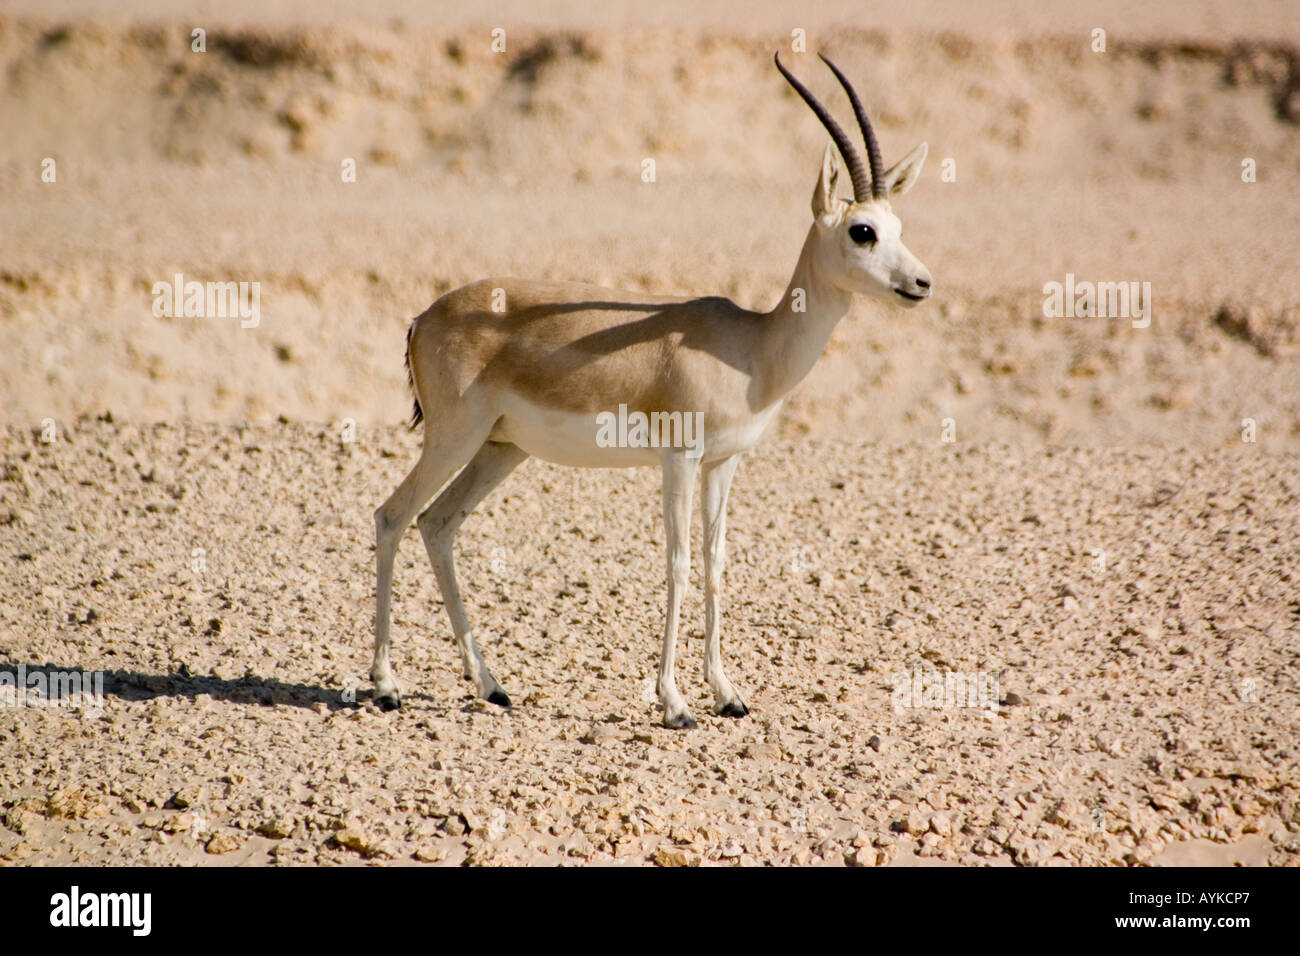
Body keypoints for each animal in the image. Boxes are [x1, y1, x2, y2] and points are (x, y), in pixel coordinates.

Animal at [372, 52, 932, 728]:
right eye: (862, 231)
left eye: (898, 224)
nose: (921, 283)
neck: (750, 347)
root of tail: (424, 316)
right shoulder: (679, 458)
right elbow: (678, 566)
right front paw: (674, 703)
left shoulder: (723, 463)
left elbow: (715, 566)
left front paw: (728, 693)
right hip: (454, 438)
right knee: (392, 516)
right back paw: (386, 686)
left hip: (501, 449)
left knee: (437, 525)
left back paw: (491, 684)